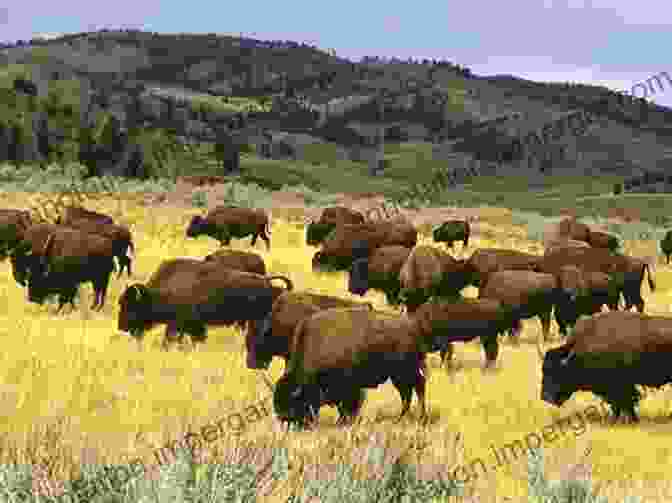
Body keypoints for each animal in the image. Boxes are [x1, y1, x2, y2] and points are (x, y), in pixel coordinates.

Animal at [118, 260, 292, 350]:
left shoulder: (177, 325)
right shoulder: (192, 326)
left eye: (131, 306)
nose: (122, 327)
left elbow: (170, 339)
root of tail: (268, 283)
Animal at [274, 306, 428, 428]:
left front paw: (344, 422)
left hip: (405, 372)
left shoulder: (348, 387)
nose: (283, 418)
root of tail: (413, 327)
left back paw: (419, 419)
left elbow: (347, 406)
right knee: (407, 394)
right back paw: (401, 419)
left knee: (418, 387)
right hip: (398, 376)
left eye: (294, 406)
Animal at [540, 314, 672, 424]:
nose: (545, 397)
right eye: (544, 370)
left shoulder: (619, 386)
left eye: (556, 372)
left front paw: (617, 421)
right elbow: (623, 403)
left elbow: (623, 402)